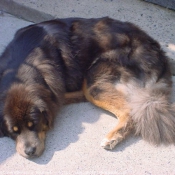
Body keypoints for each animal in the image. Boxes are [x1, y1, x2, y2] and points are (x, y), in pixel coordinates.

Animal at [0, 17, 175, 159]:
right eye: (14, 131)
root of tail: (160, 56)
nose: (29, 152)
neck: (22, 65)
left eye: (34, 124)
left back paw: (113, 137)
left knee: (129, 111)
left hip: (94, 82)